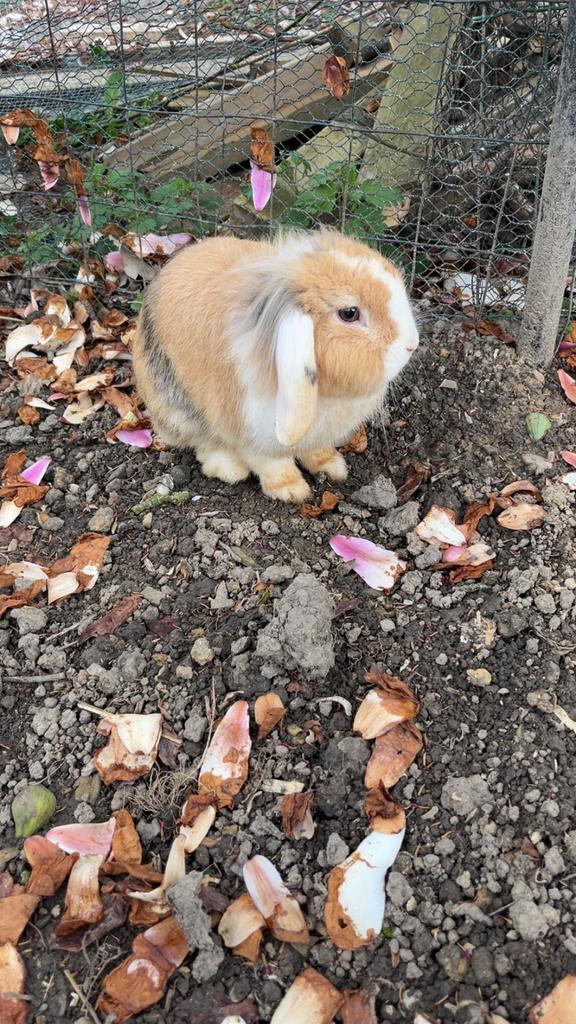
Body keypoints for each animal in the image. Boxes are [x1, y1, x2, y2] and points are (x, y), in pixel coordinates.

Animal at [132, 228, 419, 502]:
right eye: (350, 313)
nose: (412, 344)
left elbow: (316, 452)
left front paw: (333, 467)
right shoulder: (254, 434)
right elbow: (272, 465)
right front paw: (291, 490)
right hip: (178, 408)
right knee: (203, 442)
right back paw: (230, 469)